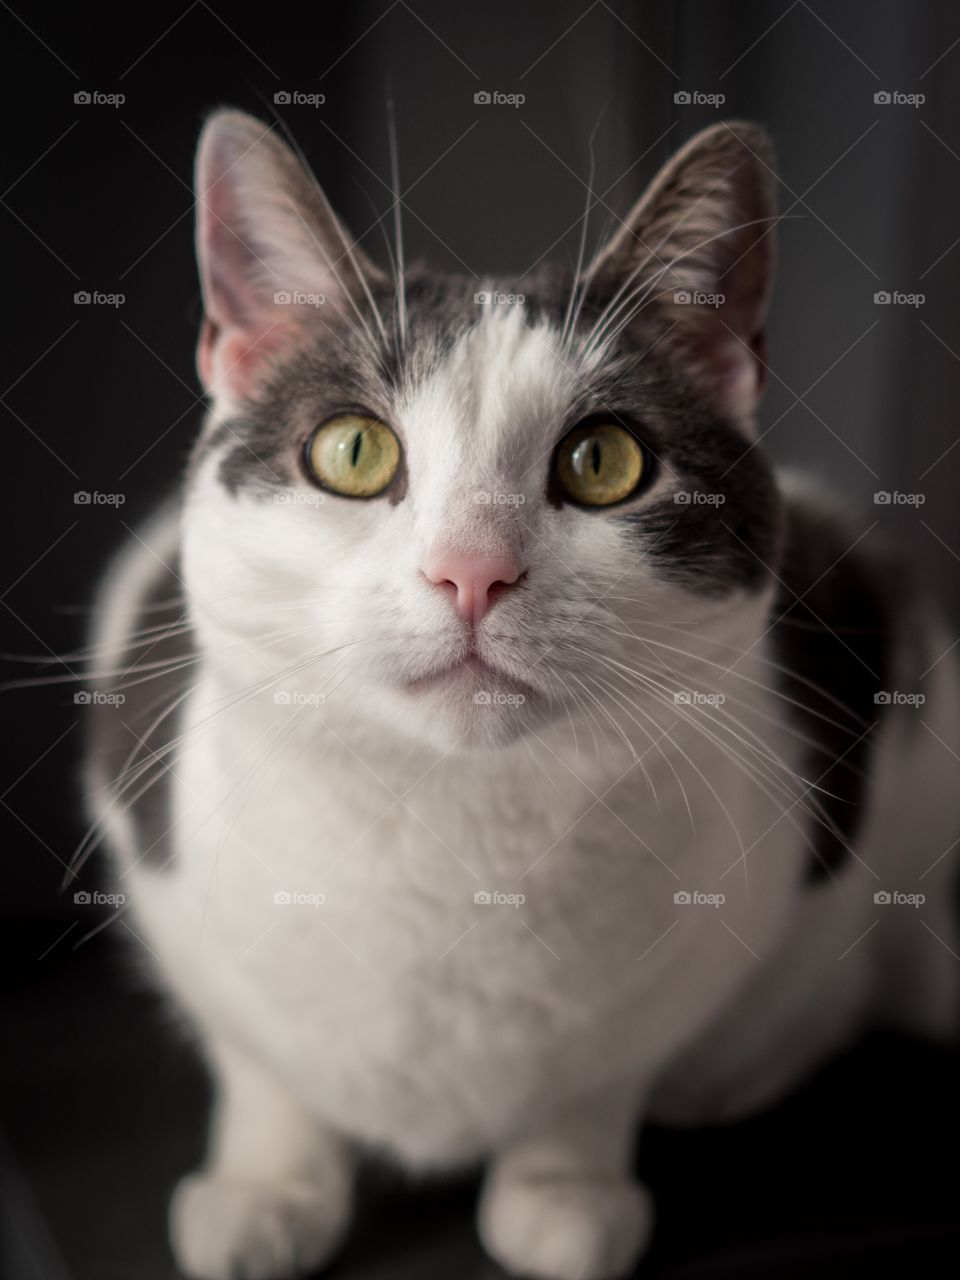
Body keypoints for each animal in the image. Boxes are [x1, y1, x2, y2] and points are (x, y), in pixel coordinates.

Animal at [86, 110, 960, 1280]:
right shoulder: (173, 883)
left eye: (604, 461)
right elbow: (262, 1057)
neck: (459, 839)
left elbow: (597, 1078)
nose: (473, 570)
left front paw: (563, 1188)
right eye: (352, 450)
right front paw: (270, 1185)